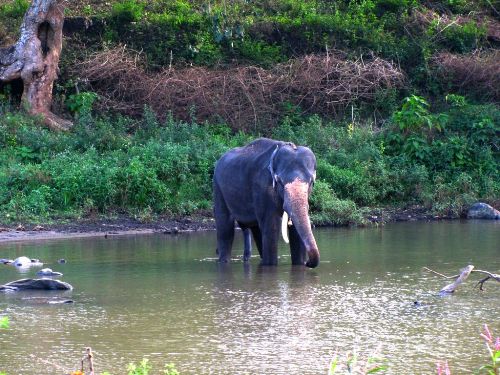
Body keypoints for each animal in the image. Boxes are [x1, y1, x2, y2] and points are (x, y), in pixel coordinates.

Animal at [213, 137, 318, 268]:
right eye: (280, 182)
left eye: (311, 182)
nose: (307, 263)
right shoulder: (262, 188)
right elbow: (272, 227)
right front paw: (270, 265)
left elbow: (295, 231)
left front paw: (299, 264)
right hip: (218, 188)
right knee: (225, 228)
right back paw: (224, 261)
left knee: (255, 229)